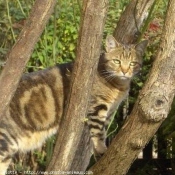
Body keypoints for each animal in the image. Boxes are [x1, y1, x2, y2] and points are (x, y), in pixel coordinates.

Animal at [0, 35, 148, 174]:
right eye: (117, 61)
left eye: (133, 63)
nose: (124, 71)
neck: (119, 86)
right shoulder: (97, 107)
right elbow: (98, 132)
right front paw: (101, 149)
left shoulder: (110, 111)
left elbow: (103, 131)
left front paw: (97, 152)